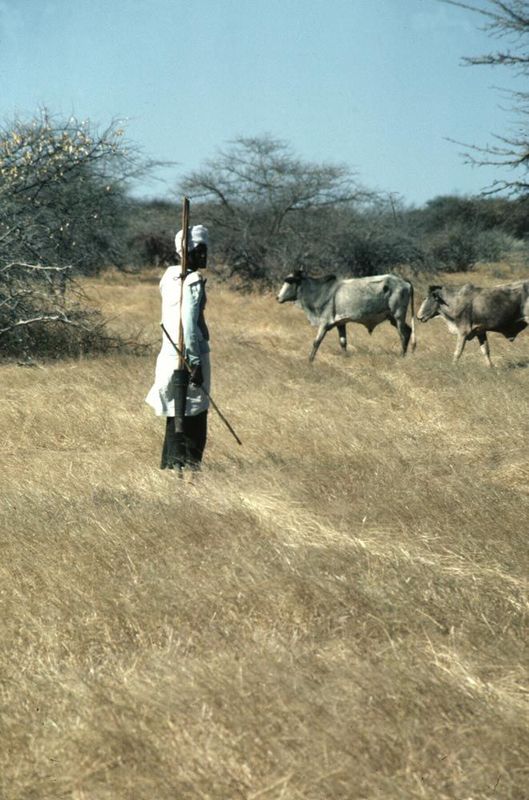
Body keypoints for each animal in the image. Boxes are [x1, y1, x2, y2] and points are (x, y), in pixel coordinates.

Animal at [276, 270, 416, 362]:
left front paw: (310, 361)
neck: (320, 291)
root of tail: (404, 281)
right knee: (409, 331)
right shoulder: (341, 323)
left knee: (403, 335)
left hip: (398, 316)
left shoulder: (324, 323)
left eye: (289, 282)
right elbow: (343, 342)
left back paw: (401, 356)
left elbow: (316, 342)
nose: (278, 297)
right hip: (392, 318)